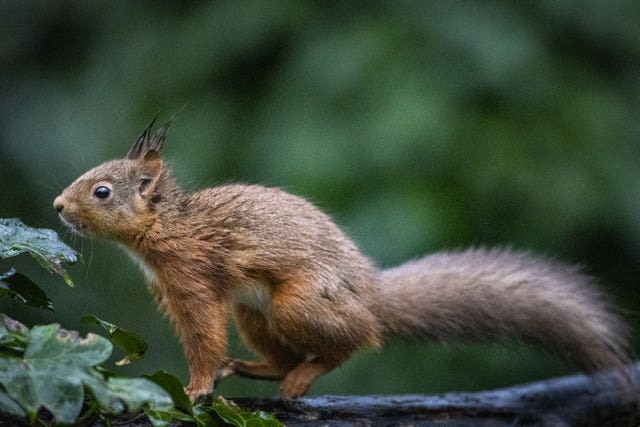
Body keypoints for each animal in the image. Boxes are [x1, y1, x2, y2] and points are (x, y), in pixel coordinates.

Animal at [53, 119, 632, 402]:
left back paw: (305, 375)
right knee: (284, 353)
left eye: (102, 191)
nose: (57, 206)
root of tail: (371, 297)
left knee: (356, 342)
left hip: (299, 304)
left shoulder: (192, 278)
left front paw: (196, 387)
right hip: (254, 312)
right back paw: (262, 368)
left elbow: (203, 337)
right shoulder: (170, 290)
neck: (165, 228)